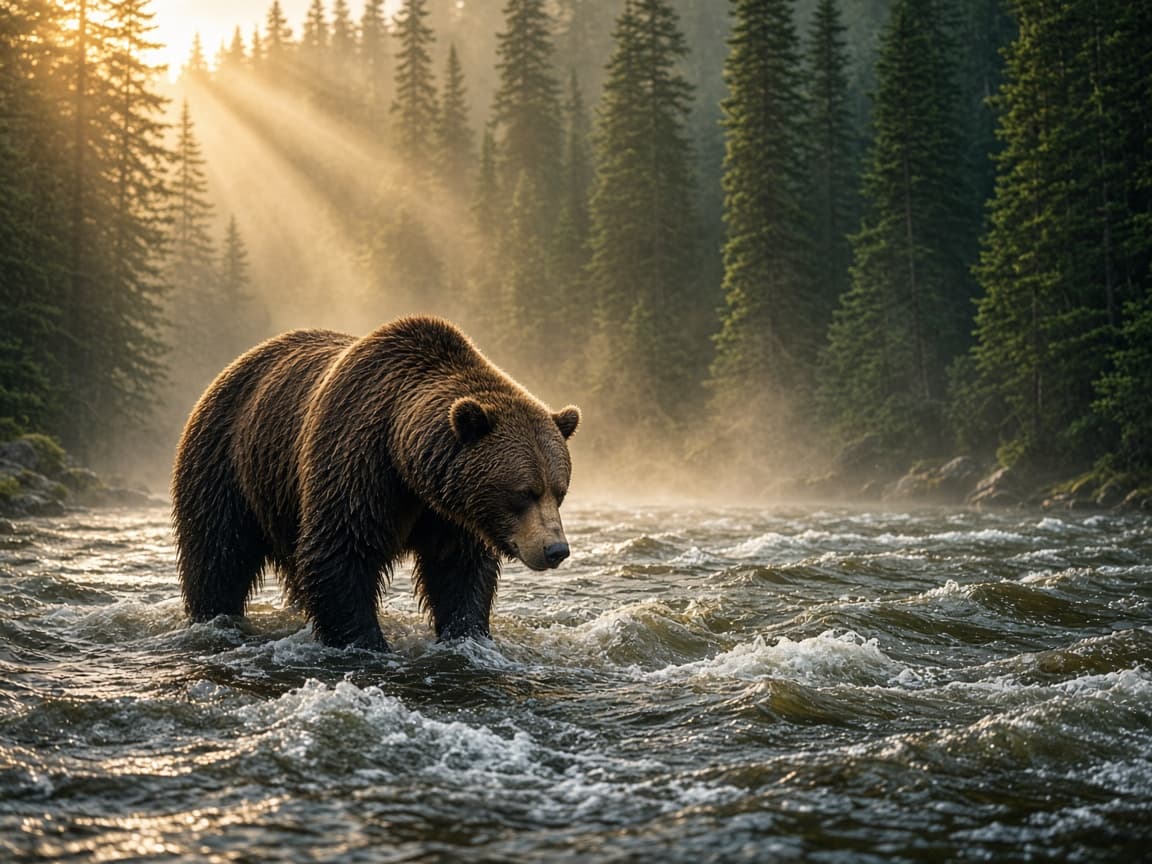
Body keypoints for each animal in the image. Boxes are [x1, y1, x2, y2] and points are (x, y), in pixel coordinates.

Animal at [171, 316, 580, 649]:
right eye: (524, 492)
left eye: (559, 492)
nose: (555, 550)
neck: (407, 464)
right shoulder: (358, 464)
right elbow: (339, 555)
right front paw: (367, 643)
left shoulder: (450, 512)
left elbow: (459, 570)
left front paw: (467, 634)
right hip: (227, 463)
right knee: (218, 553)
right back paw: (214, 616)